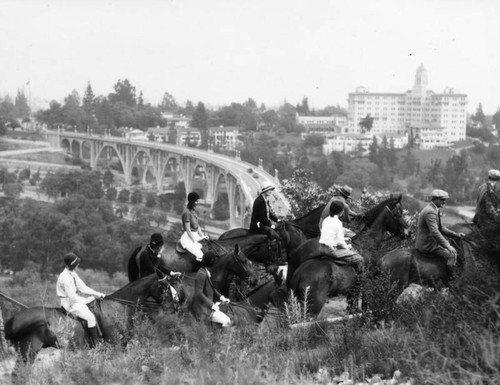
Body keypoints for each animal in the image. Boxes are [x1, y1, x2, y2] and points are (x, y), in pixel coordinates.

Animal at [3, 272, 170, 372]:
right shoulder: (115, 345)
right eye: (164, 286)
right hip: (29, 350)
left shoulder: (118, 346)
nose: (173, 304)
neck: (119, 305)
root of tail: (15, 318)